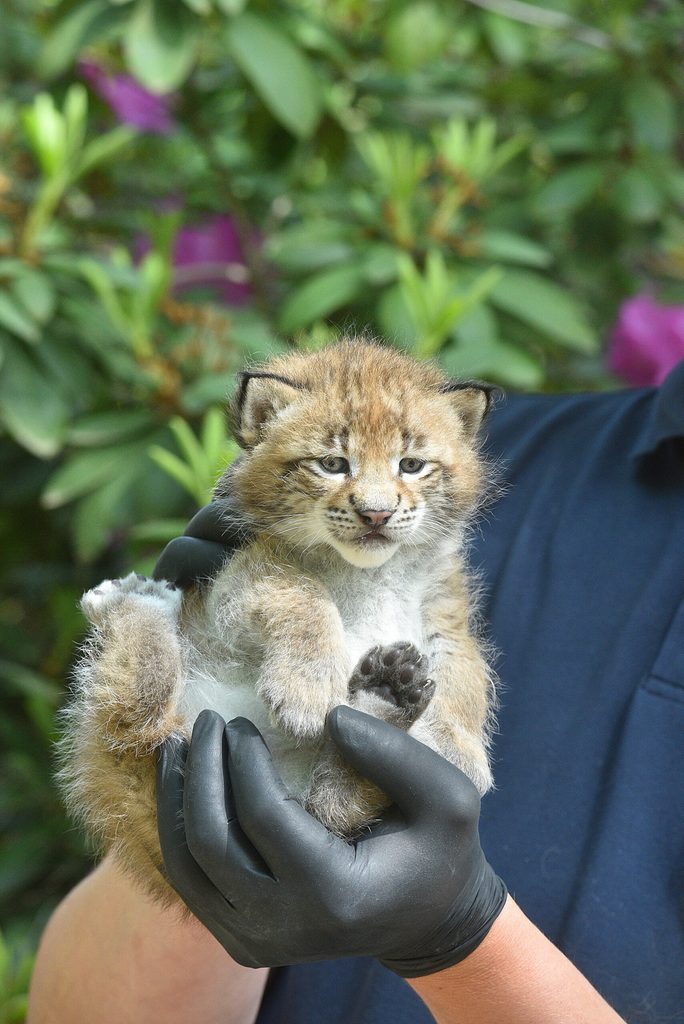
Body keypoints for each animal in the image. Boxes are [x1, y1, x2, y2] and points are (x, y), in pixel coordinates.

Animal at [58, 339, 497, 901]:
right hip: (149, 750)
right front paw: (308, 688)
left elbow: (466, 669)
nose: (376, 514)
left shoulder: (445, 606)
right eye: (332, 463)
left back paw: (386, 703)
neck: (369, 573)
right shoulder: (237, 580)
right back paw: (130, 602)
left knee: (328, 808)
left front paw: (462, 751)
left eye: (412, 464)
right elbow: (304, 593)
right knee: (134, 711)